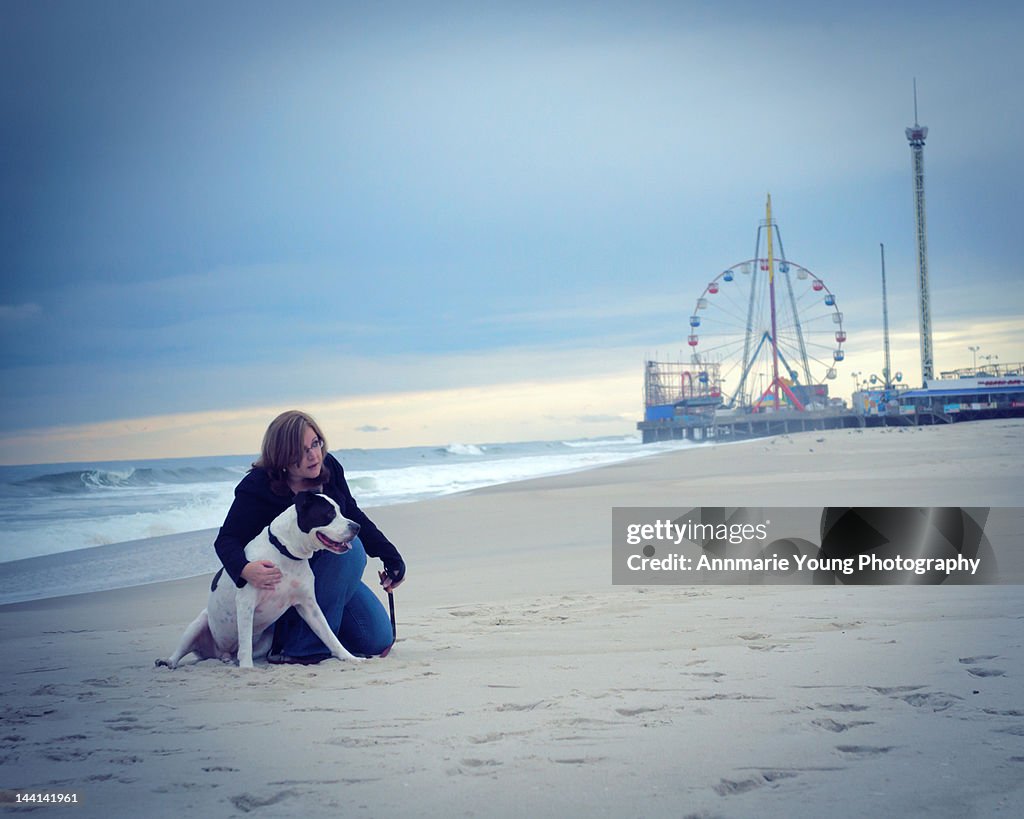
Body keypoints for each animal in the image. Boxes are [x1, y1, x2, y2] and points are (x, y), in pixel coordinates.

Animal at [157, 489, 366, 667]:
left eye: (341, 512)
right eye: (329, 514)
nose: (357, 526)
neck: (285, 551)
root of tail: (218, 653)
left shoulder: (309, 606)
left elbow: (329, 635)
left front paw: (349, 657)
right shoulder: (246, 603)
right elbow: (245, 645)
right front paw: (247, 669)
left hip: (266, 641)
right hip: (198, 624)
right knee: (182, 650)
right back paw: (168, 662)